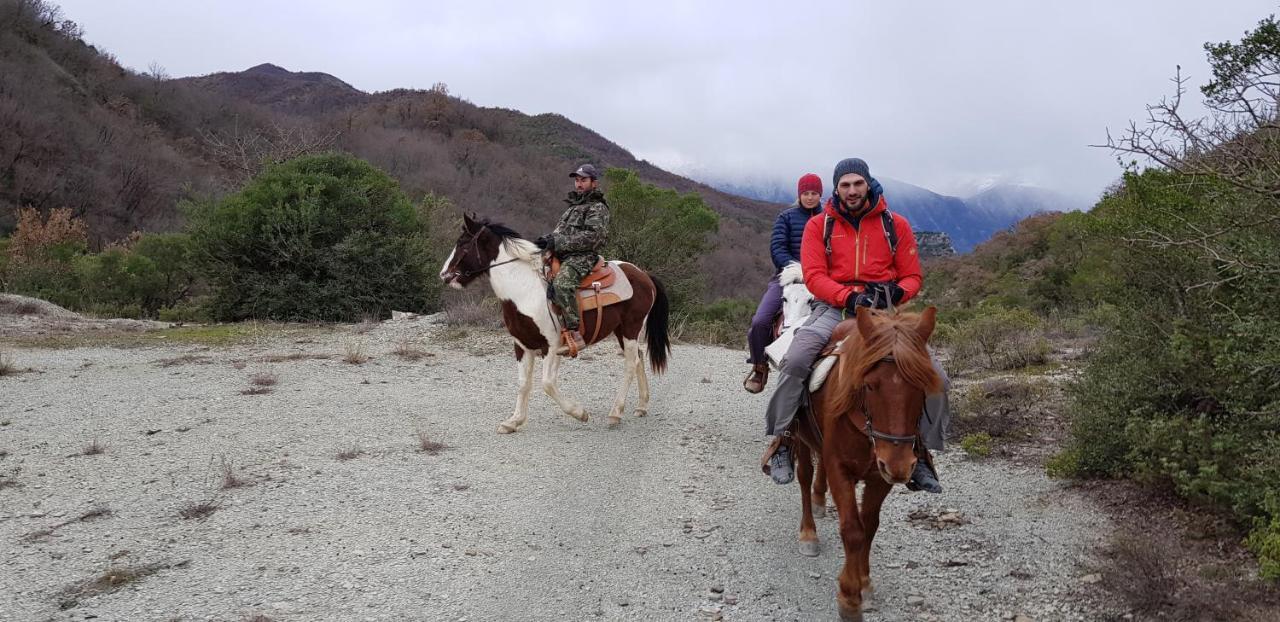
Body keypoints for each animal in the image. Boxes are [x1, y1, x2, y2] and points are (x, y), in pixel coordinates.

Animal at [440, 213, 675, 432]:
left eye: (463, 243)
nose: (444, 275)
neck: (524, 291)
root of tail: (644, 274)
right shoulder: (522, 346)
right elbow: (523, 384)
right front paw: (513, 421)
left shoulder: (552, 347)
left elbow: (547, 384)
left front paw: (579, 413)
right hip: (622, 331)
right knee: (639, 358)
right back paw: (641, 406)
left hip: (630, 328)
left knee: (630, 364)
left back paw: (615, 413)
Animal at [788, 307, 942, 622]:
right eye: (870, 385)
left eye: (922, 385)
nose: (899, 465)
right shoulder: (841, 469)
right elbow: (853, 530)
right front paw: (849, 597)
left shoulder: (879, 476)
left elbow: (869, 526)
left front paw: (864, 583)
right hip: (800, 437)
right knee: (805, 476)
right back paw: (808, 532)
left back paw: (820, 501)